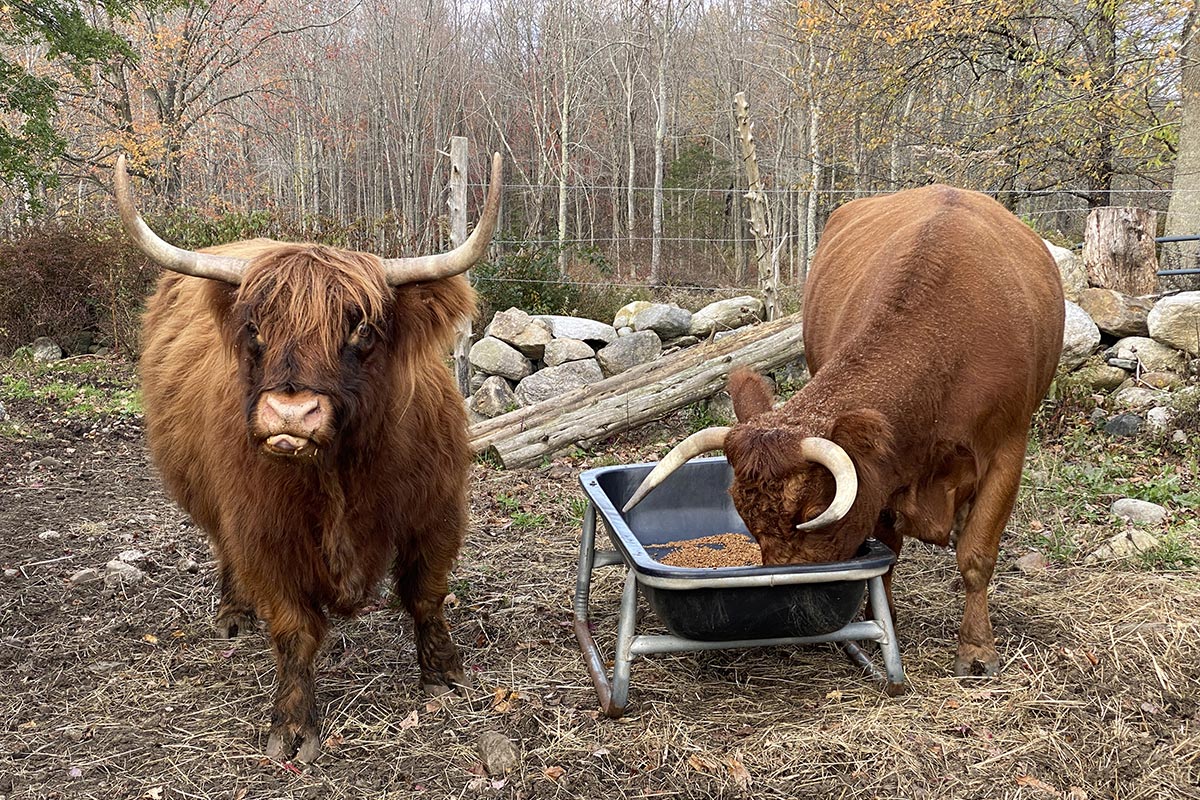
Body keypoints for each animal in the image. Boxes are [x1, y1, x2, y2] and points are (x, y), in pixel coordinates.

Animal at [115, 152, 501, 761]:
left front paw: (445, 674)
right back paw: (232, 614)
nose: (290, 415)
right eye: (254, 328)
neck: (339, 473)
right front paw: (292, 725)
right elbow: (294, 630)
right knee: (225, 552)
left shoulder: (436, 510)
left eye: (361, 328)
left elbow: (426, 594)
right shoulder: (264, 533)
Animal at [625, 184, 1064, 678]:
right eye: (743, 514)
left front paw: (977, 649)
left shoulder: (1008, 450)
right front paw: (882, 621)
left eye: (814, 514)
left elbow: (977, 555)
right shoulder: (885, 474)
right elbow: (887, 555)